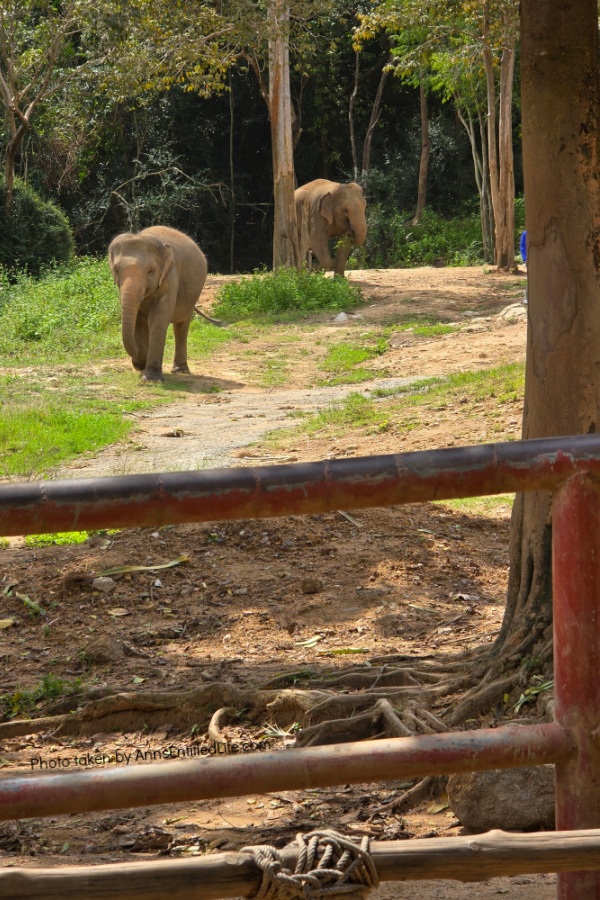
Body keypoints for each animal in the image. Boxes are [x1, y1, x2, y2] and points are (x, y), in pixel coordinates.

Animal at [108, 226, 209, 382]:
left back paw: (180, 371)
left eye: (151, 271)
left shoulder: (170, 276)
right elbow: (138, 321)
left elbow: (158, 319)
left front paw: (151, 379)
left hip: (193, 296)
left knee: (181, 325)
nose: (138, 364)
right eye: (117, 270)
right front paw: (142, 366)